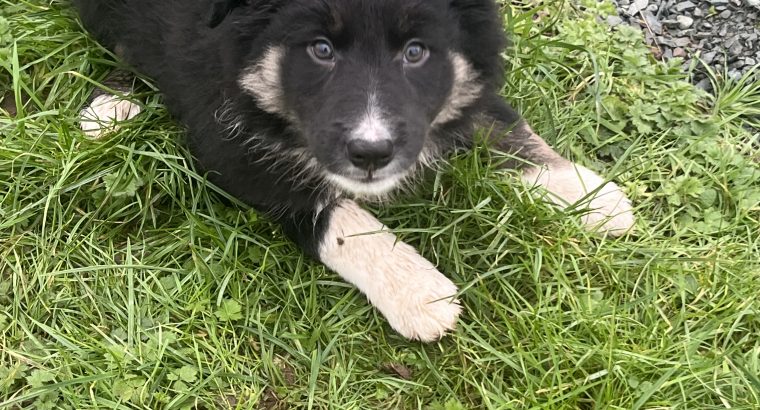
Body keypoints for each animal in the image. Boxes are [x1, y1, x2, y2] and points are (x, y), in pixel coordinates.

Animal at [75, 0, 636, 340]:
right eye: (321, 50)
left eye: (416, 52)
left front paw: (582, 192)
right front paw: (418, 291)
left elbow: (496, 118)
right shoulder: (233, 146)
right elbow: (338, 219)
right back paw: (111, 108)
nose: (371, 154)